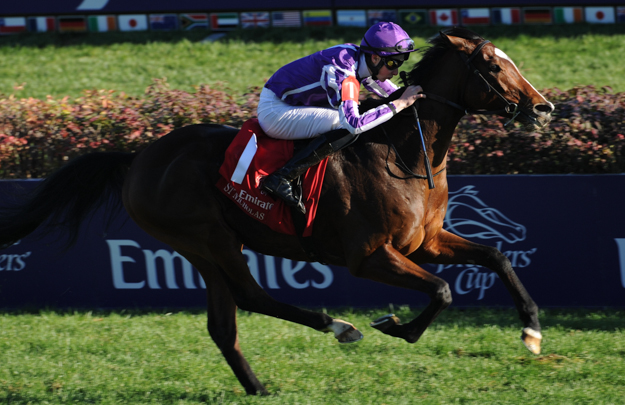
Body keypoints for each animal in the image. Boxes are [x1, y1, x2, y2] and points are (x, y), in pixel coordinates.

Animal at [1, 29, 556, 394]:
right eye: (494, 67)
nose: (543, 108)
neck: (403, 155)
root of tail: (137, 158)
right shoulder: (369, 256)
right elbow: (441, 291)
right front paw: (394, 326)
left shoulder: (426, 242)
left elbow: (496, 257)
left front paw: (531, 331)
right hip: (208, 237)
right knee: (251, 295)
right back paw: (339, 327)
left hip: (202, 248)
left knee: (224, 324)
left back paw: (258, 387)